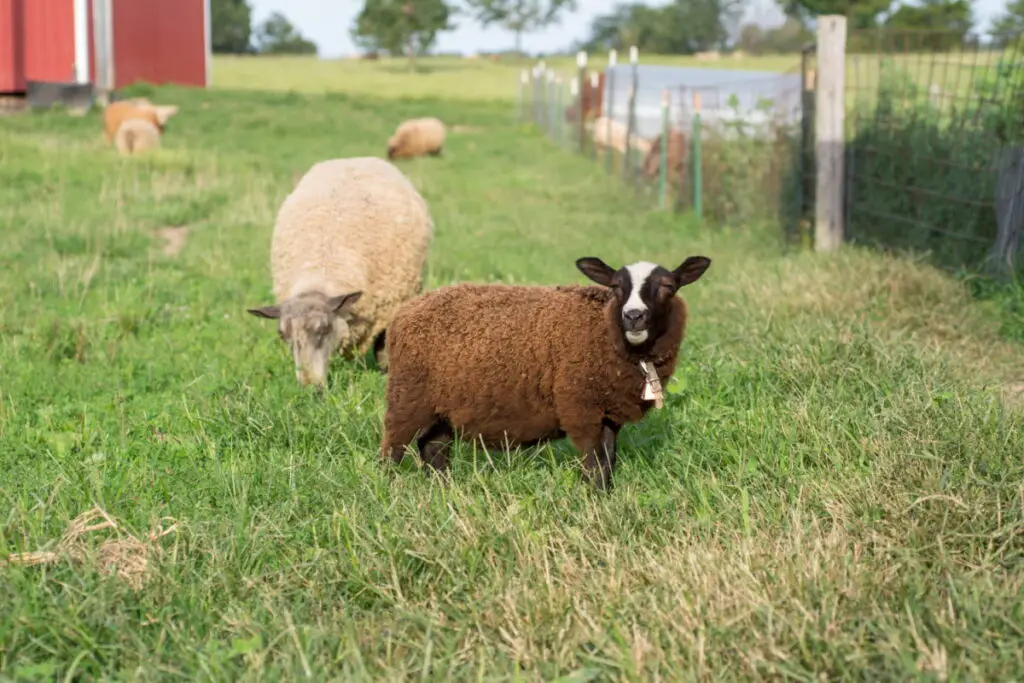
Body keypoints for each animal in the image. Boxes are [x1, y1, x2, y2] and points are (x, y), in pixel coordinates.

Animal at [378, 253, 712, 489]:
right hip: (408, 395)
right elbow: (594, 461)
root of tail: (405, 311)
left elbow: (608, 460)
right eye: (616, 287)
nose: (633, 316)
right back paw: (387, 489)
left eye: (668, 287)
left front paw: (604, 496)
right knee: (393, 448)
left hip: (443, 404)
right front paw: (592, 498)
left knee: (433, 448)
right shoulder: (579, 408)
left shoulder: (607, 413)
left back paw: (442, 489)